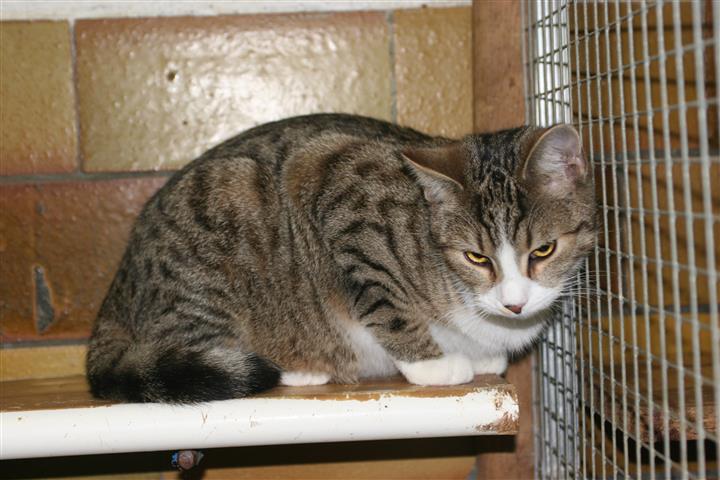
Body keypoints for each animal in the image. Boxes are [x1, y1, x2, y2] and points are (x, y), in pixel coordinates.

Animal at [86, 113, 596, 403]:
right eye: (475, 256)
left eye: (544, 250)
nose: (514, 304)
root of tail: (118, 284)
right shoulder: (343, 195)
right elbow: (386, 301)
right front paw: (431, 364)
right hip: (218, 232)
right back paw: (295, 366)